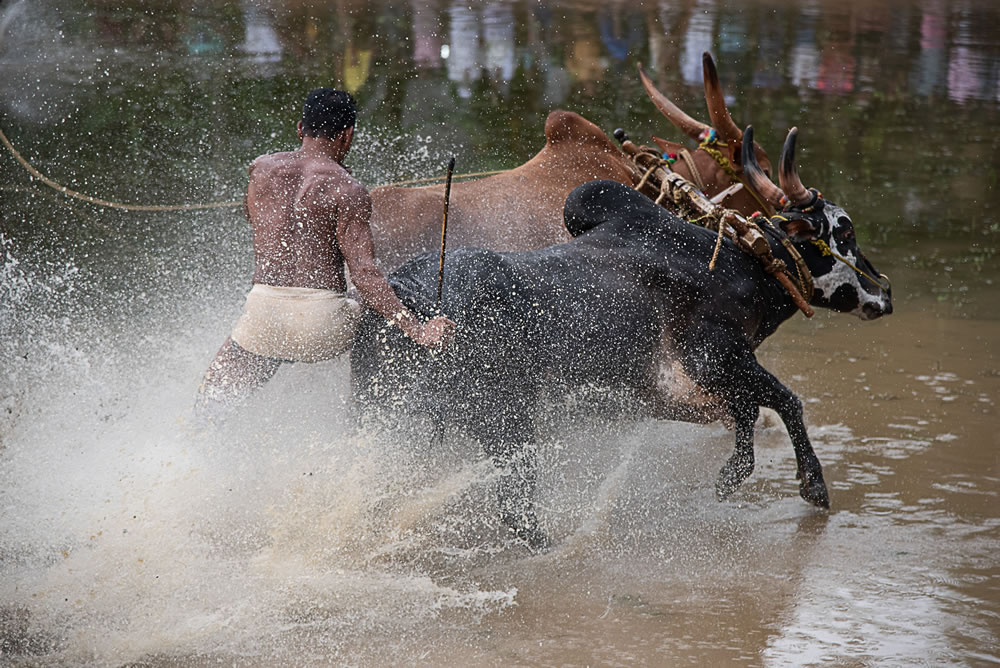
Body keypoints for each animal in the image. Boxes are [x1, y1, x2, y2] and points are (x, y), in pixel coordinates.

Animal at [352, 180, 892, 544]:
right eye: (845, 230)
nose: (885, 292)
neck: (748, 265)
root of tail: (412, 300)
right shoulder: (714, 358)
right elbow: (785, 402)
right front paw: (812, 484)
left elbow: (749, 413)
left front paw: (730, 476)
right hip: (507, 421)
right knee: (515, 506)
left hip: (389, 417)